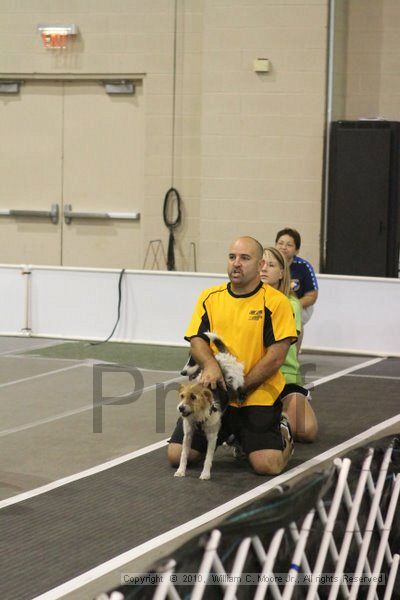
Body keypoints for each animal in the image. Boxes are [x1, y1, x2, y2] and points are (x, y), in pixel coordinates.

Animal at [176, 330, 245, 480]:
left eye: (193, 397)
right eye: (182, 396)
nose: (181, 408)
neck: (197, 416)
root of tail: (222, 356)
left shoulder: (212, 437)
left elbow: (208, 458)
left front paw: (205, 473)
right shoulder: (188, 434)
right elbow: (183, 454)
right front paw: (181, 471)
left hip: (237, 379)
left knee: (240, 388)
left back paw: (240, 397)